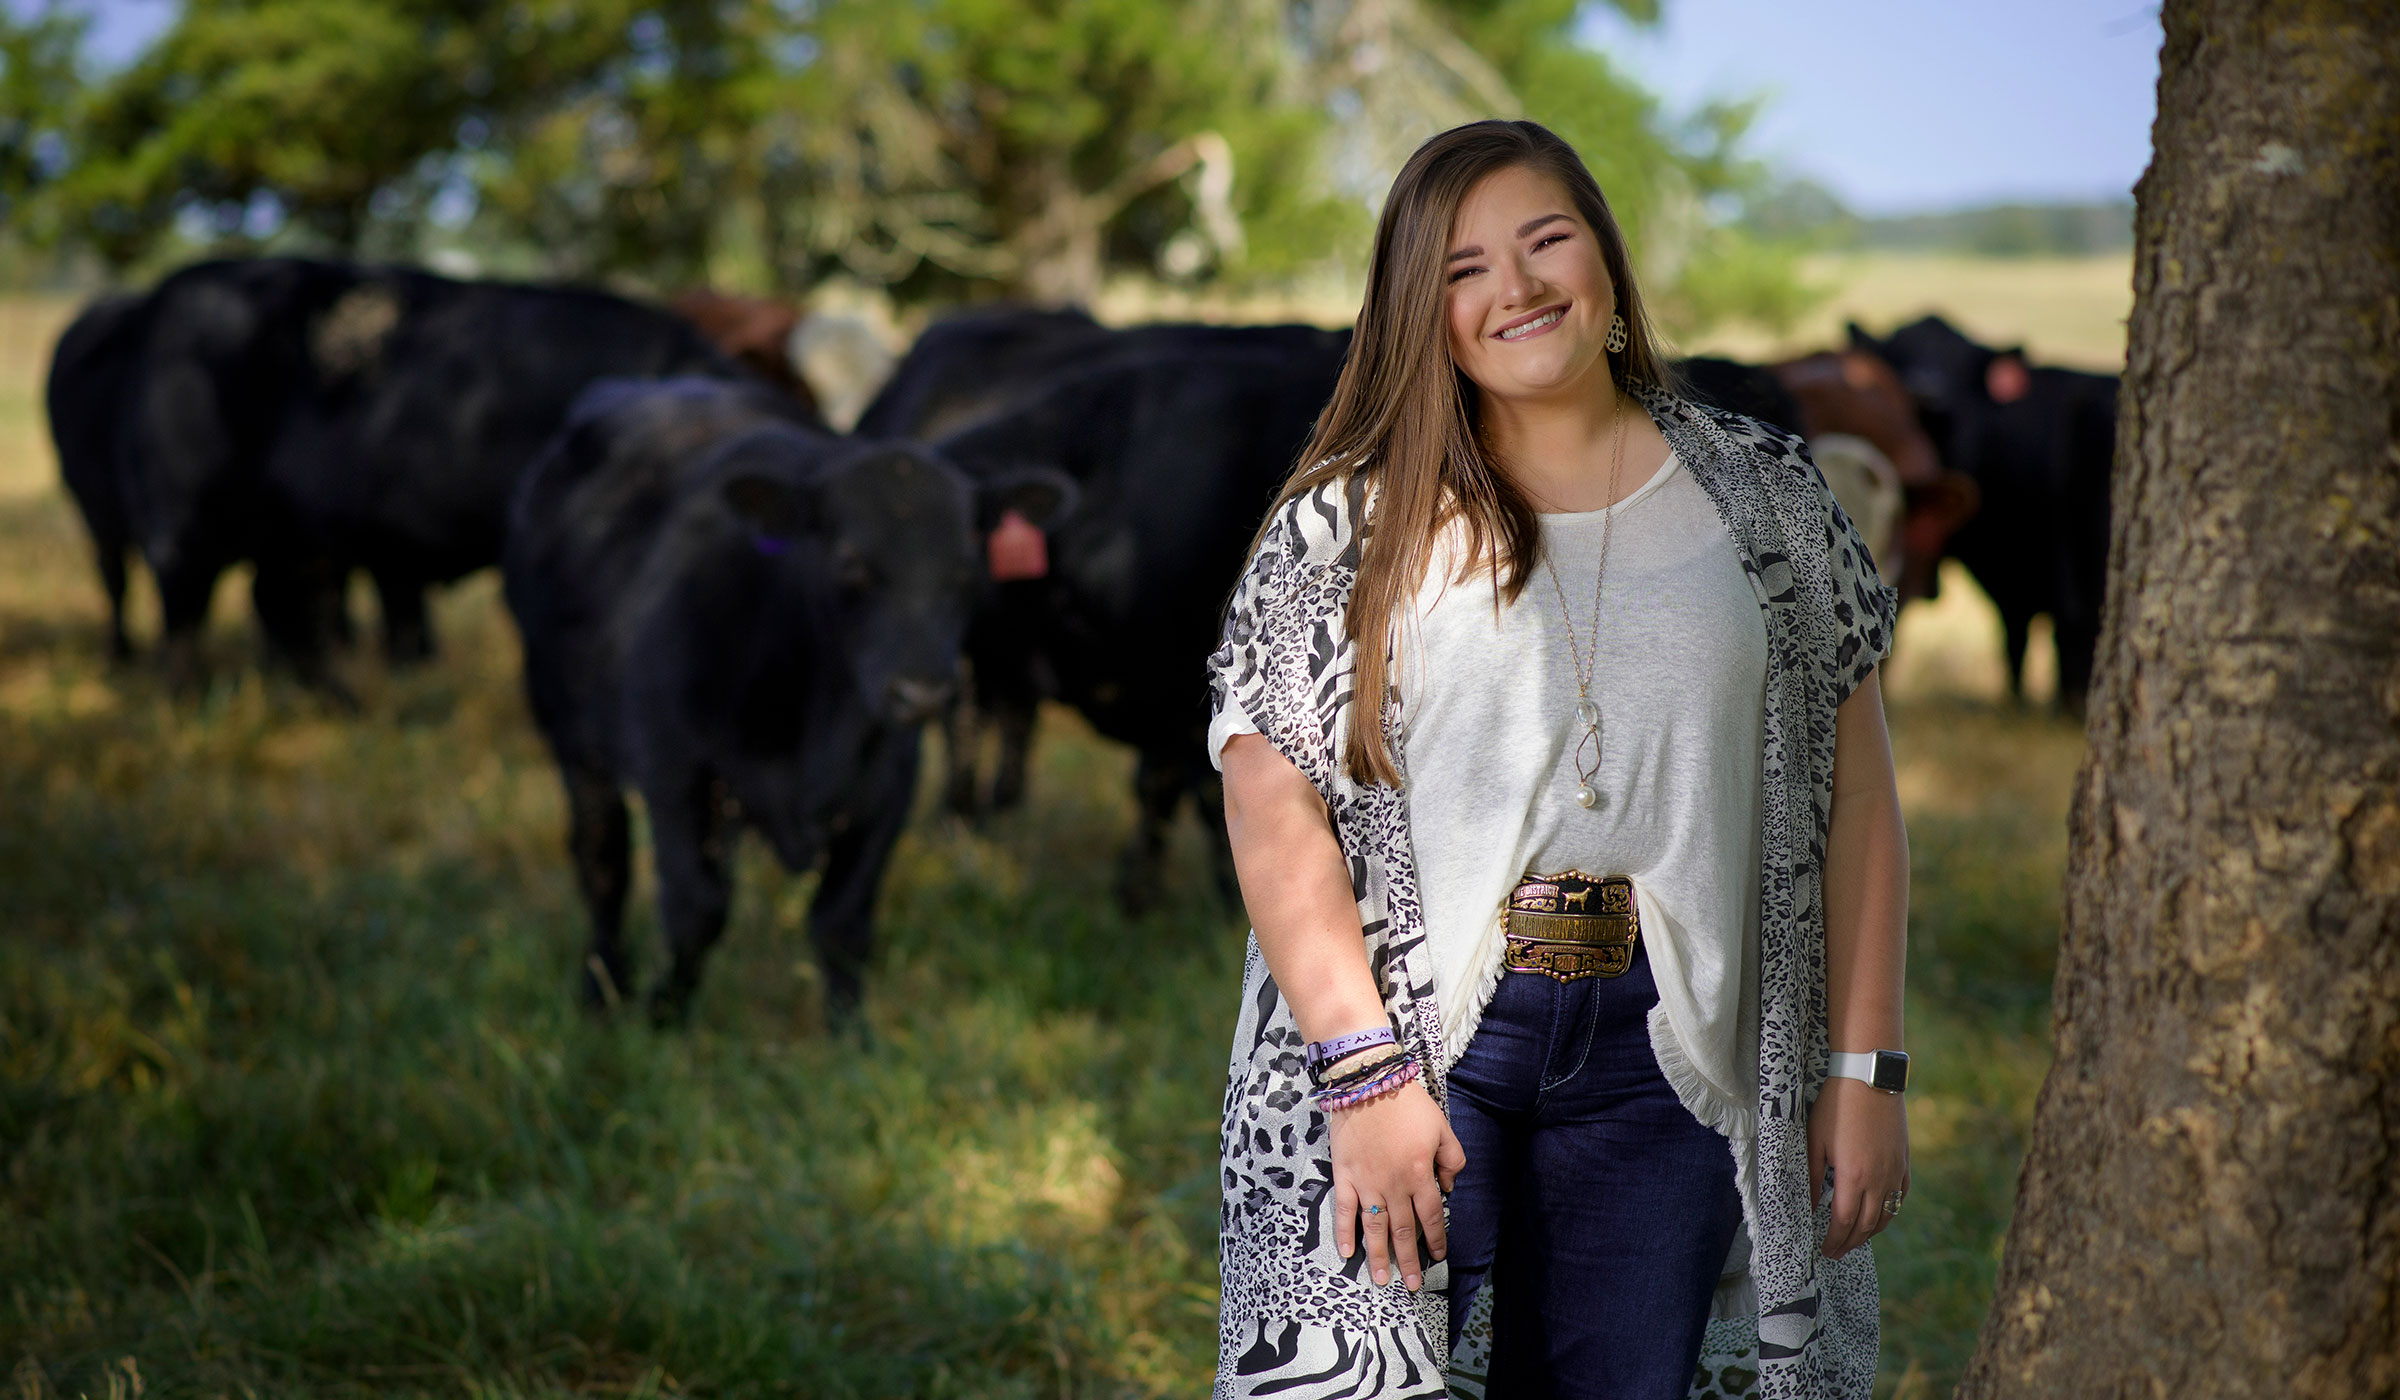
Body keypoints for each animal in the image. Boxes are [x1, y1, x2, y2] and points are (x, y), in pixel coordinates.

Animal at [42, 261, 753, 691]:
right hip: (172, 521)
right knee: (173, 604)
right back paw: (176, 693)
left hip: (289, 536)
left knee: (280, 607)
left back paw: (336, 700)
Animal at [506, 377, 1070, 1022]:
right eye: (851, 561)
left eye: (966, 566)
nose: (923, 691)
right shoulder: (673, 769)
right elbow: (696, 907)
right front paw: (661, 1015)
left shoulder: (888, 786)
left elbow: (843, 921)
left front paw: (851, 1032)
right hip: (572, 735)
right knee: (603, 862)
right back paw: (602, 985)